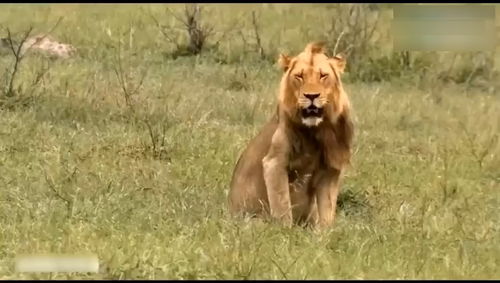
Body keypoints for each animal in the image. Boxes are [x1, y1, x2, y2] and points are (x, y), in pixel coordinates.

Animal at [229, 41, 354, 230]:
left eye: (323, 76)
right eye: (299, 76)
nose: (311, 96)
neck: (315, 131)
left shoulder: (330, 169)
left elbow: (327, 208)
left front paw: (325, 233)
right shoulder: (274, 163)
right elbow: (282, 204)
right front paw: (285, 232)